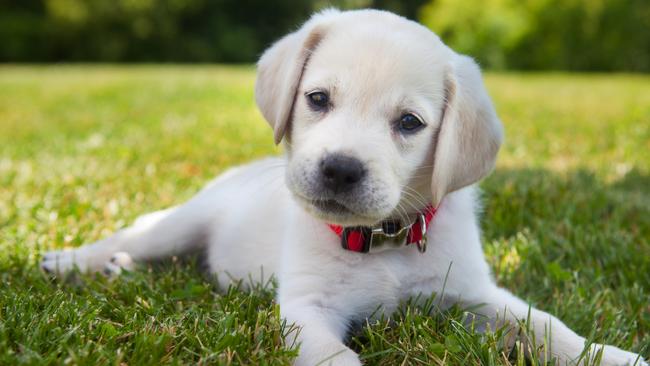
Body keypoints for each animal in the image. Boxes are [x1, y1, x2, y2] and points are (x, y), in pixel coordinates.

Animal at [40, 8, 644, 366]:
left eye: (409, 123)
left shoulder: (473, 293)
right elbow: (338, 359)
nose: (340, 169)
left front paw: (615, 355)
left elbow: (547, 324)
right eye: (317, 98)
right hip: (181, 223)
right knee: (135, 237)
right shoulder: (308, 308)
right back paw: (74, 261)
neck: (382, 240)